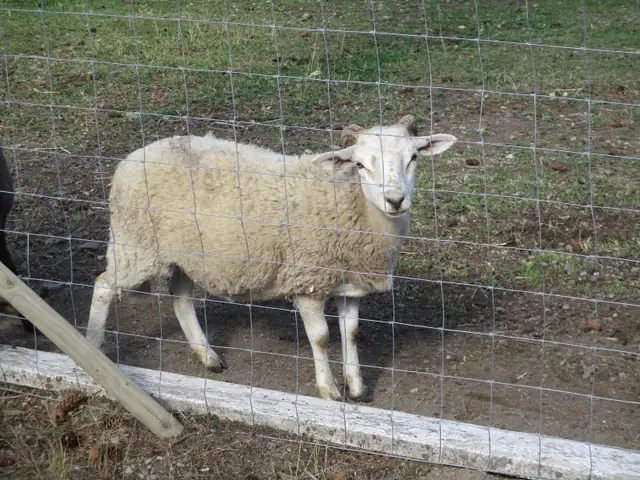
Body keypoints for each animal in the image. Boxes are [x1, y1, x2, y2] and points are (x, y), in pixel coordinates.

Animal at [85, 115, 456, 402]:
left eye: (413, 158)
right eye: (360, 165)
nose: (395, 200)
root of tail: (135, 155)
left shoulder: (348, 283)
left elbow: (350, 333)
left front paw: (357, 388)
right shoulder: (307, 281)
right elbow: (322, 337)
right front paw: (329, 391)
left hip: (189, 252)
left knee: (180, 297)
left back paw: (207, 356)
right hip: (135, 243)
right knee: (103, 285)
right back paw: (94, 347)